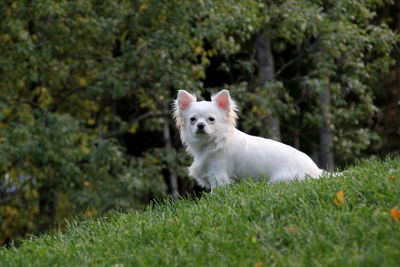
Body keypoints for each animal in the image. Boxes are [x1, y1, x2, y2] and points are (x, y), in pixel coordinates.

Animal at [173, 90, 324, 191]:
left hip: (280, 180)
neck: (211, 143)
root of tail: (317, 173)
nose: (200, 125)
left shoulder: (218, 176)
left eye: (211, 119)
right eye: (192, 120)